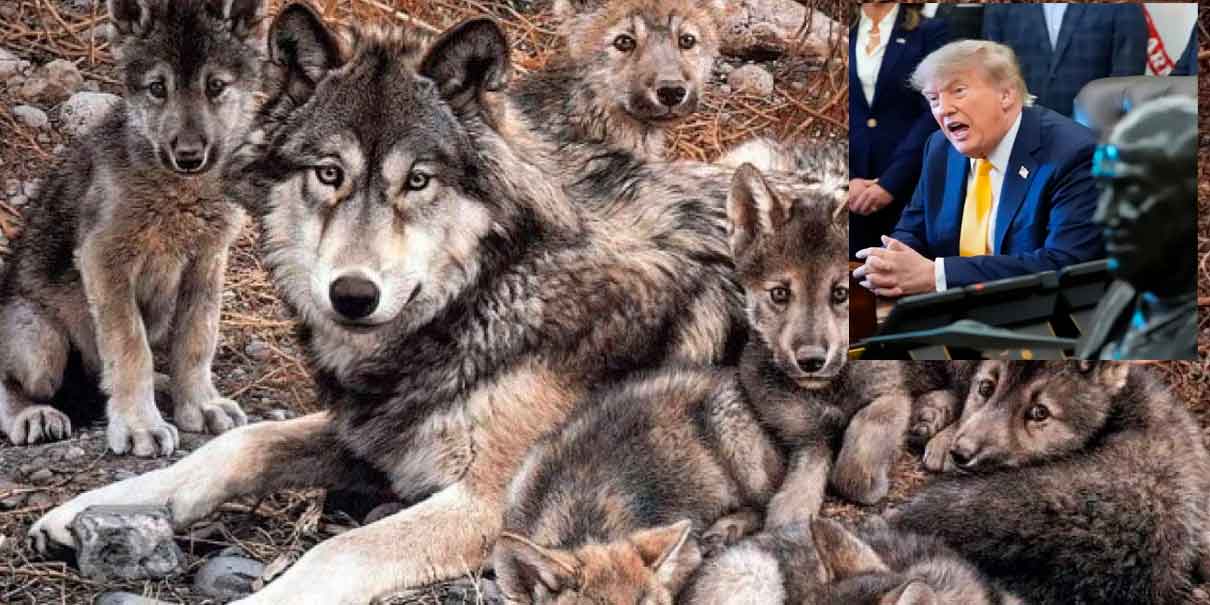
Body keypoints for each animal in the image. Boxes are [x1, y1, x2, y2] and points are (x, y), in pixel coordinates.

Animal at [0, 0, 260, 456]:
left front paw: (200, 404)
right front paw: (140, 425)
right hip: (39, 343)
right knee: (14, 382)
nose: (188, 156)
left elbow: (197, 339)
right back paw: (34, 415)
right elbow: (129, 348)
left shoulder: (208, 259)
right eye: (157, 88)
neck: (178, 192)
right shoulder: (103, 259)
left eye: (216, 86)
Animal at [30, 8, 749, 604]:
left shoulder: (491, 503)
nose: (353, 295)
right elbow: (235, 445)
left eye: (418, 180)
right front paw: (89, 509)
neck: (495, 289)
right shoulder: (376, 433)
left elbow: (337, 551)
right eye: (329, 174)